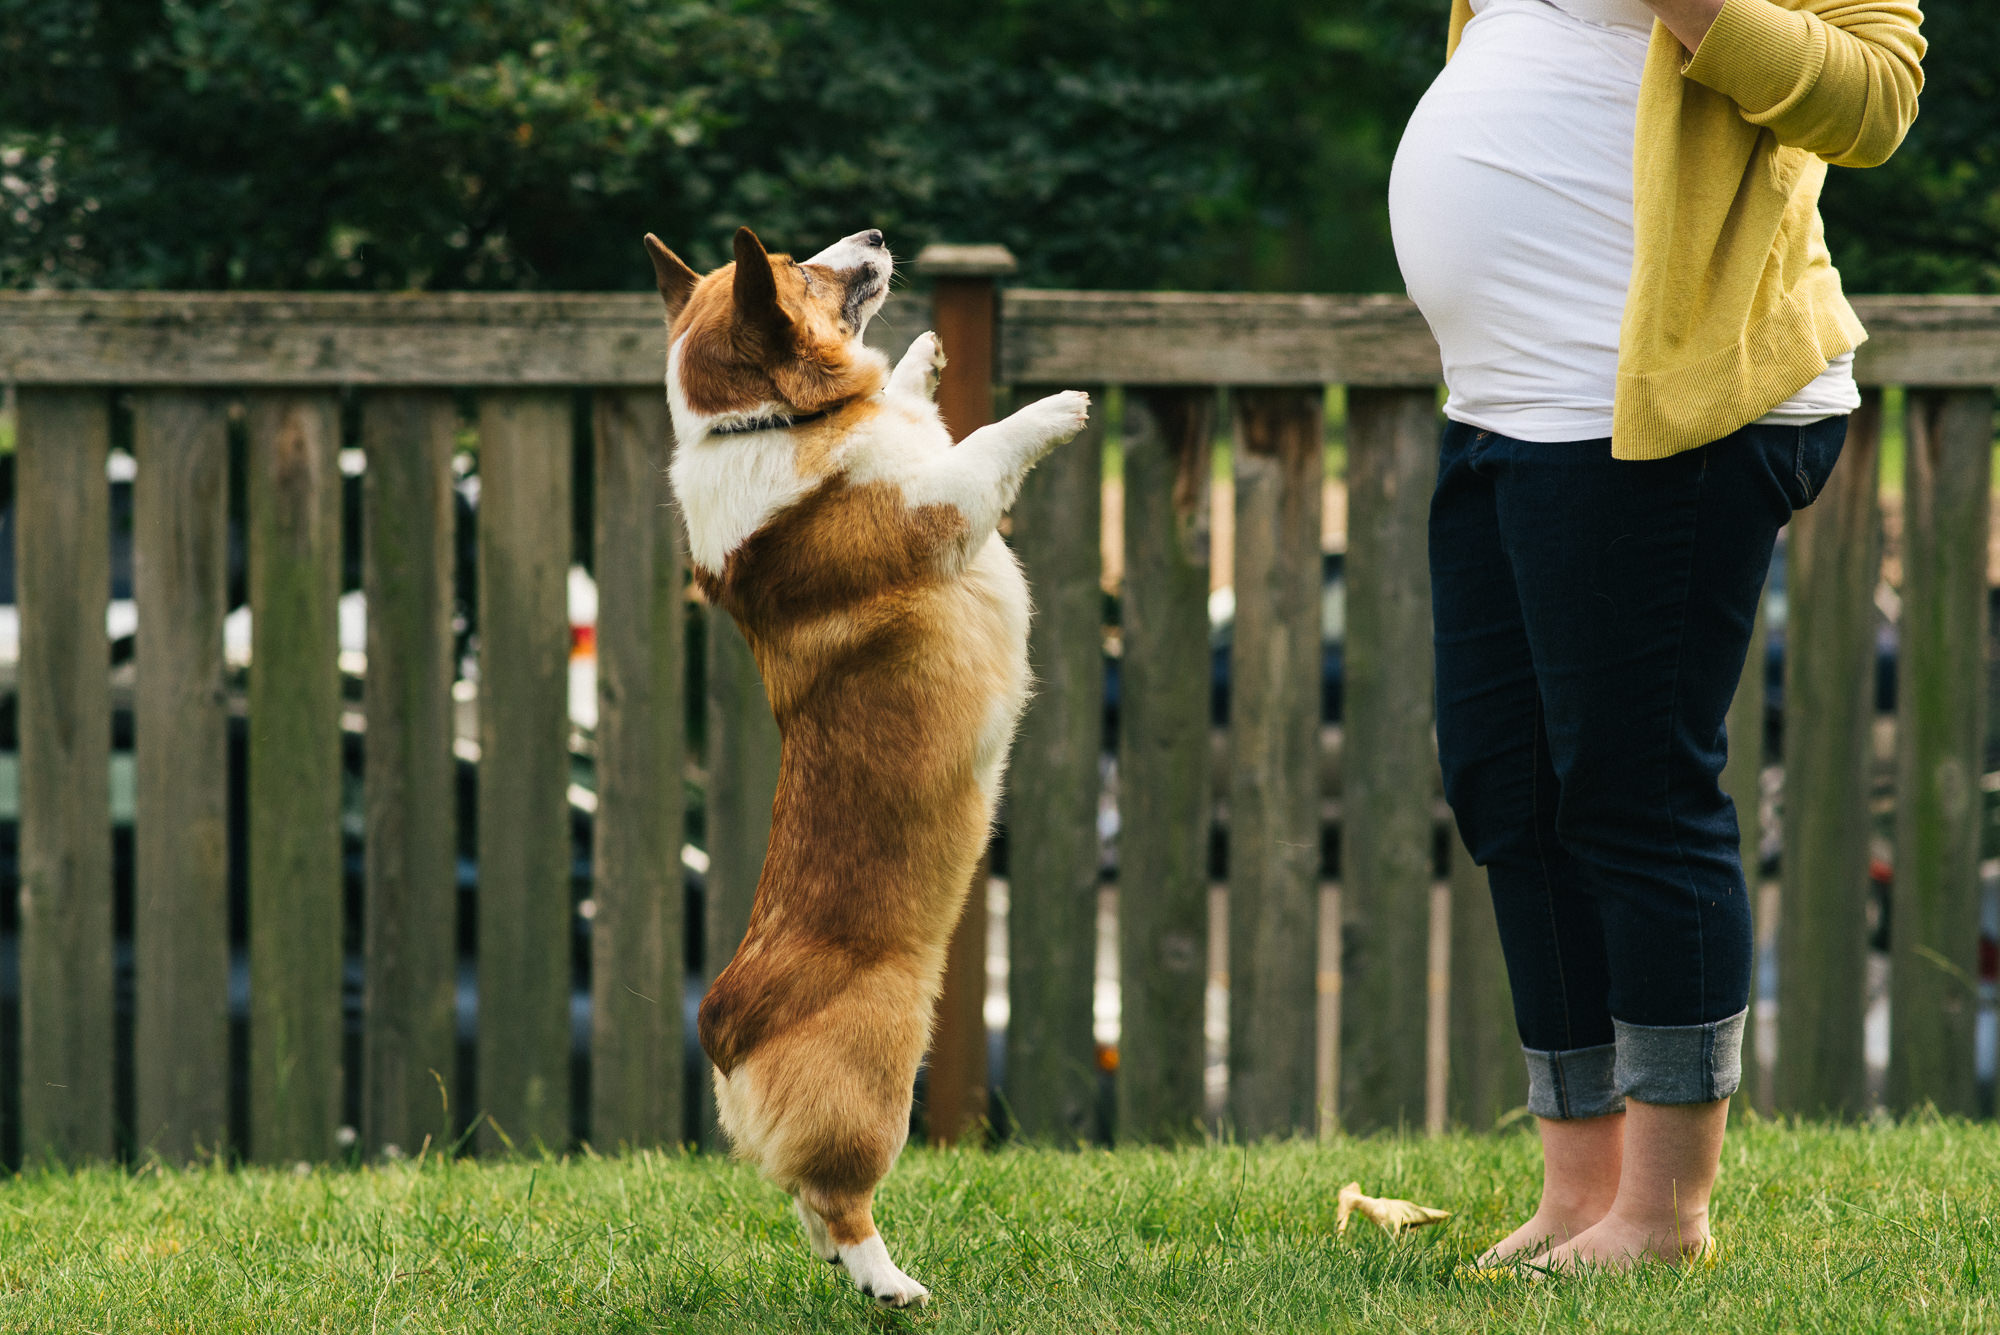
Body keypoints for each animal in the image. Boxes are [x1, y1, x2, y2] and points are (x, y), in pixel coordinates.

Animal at [648, 226, 1096, 1303]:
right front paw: (1055, 408)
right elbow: (986, 445)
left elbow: (922, 408)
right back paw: (889, 1284)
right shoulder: (943, 503)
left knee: (807, 1205)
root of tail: (722, 1024)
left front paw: (924, 357)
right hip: (875, 1089)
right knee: (837, 1196)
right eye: (796, 270)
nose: (878, 237)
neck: (753, 424)